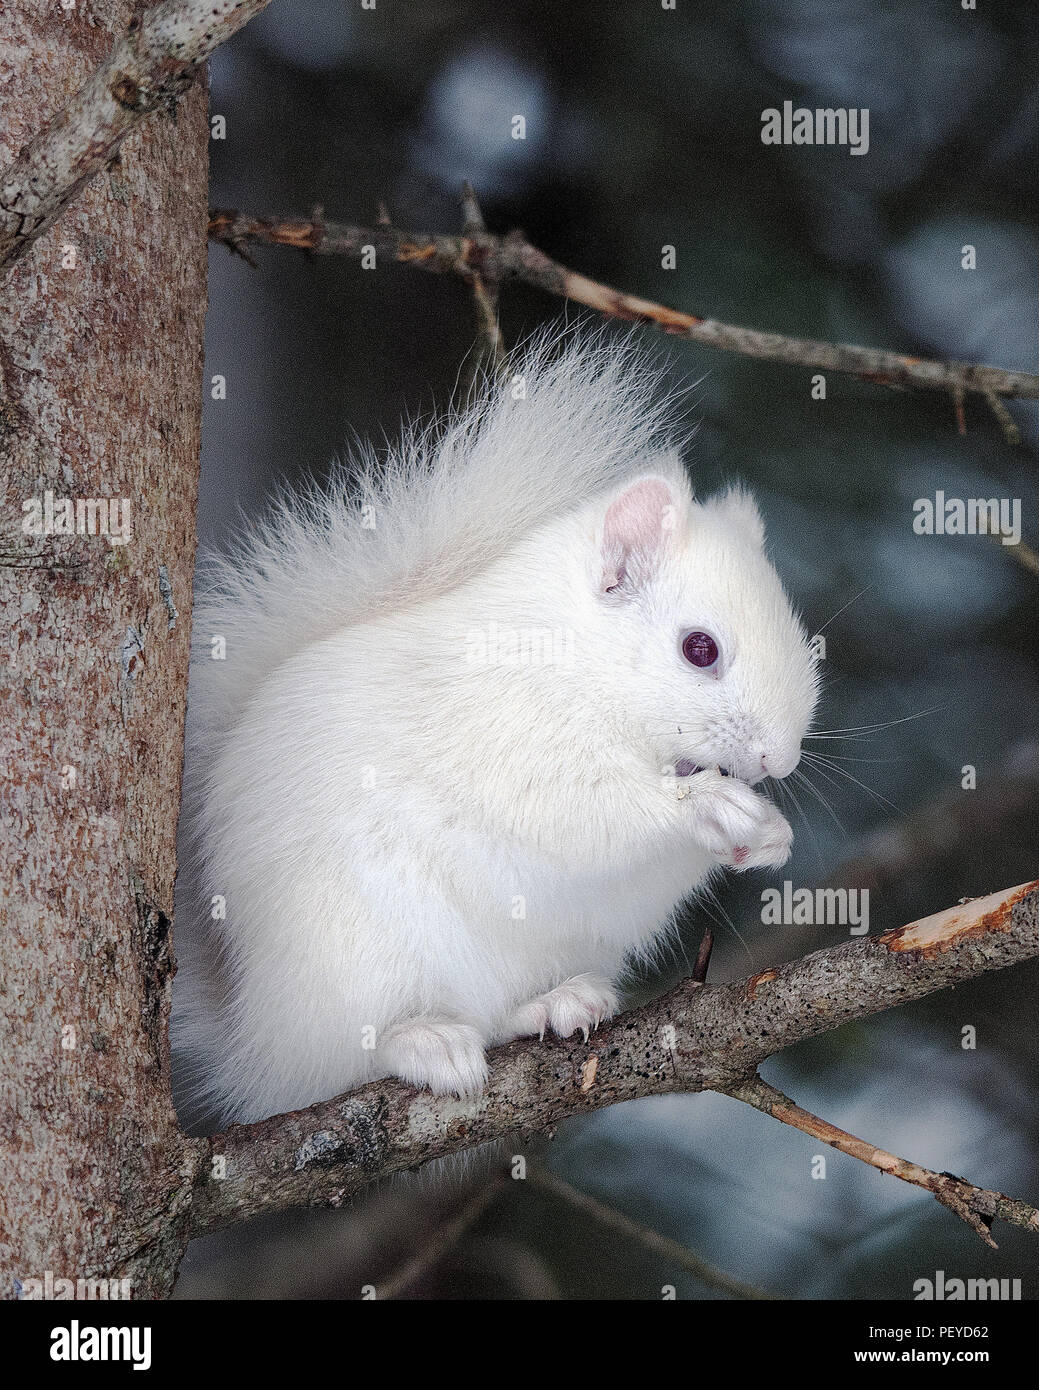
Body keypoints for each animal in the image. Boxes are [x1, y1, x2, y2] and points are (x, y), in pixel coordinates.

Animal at [172, 330, 819, 1125]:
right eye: (699, 649)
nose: (778, 761)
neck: (580, 669)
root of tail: (255, 1042)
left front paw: (768, 835)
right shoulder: (499, 736)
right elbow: (585, 813)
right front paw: (711, 808)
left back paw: (560, 1003)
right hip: (356, 956)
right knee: (348, 1059)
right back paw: (424, 1041)